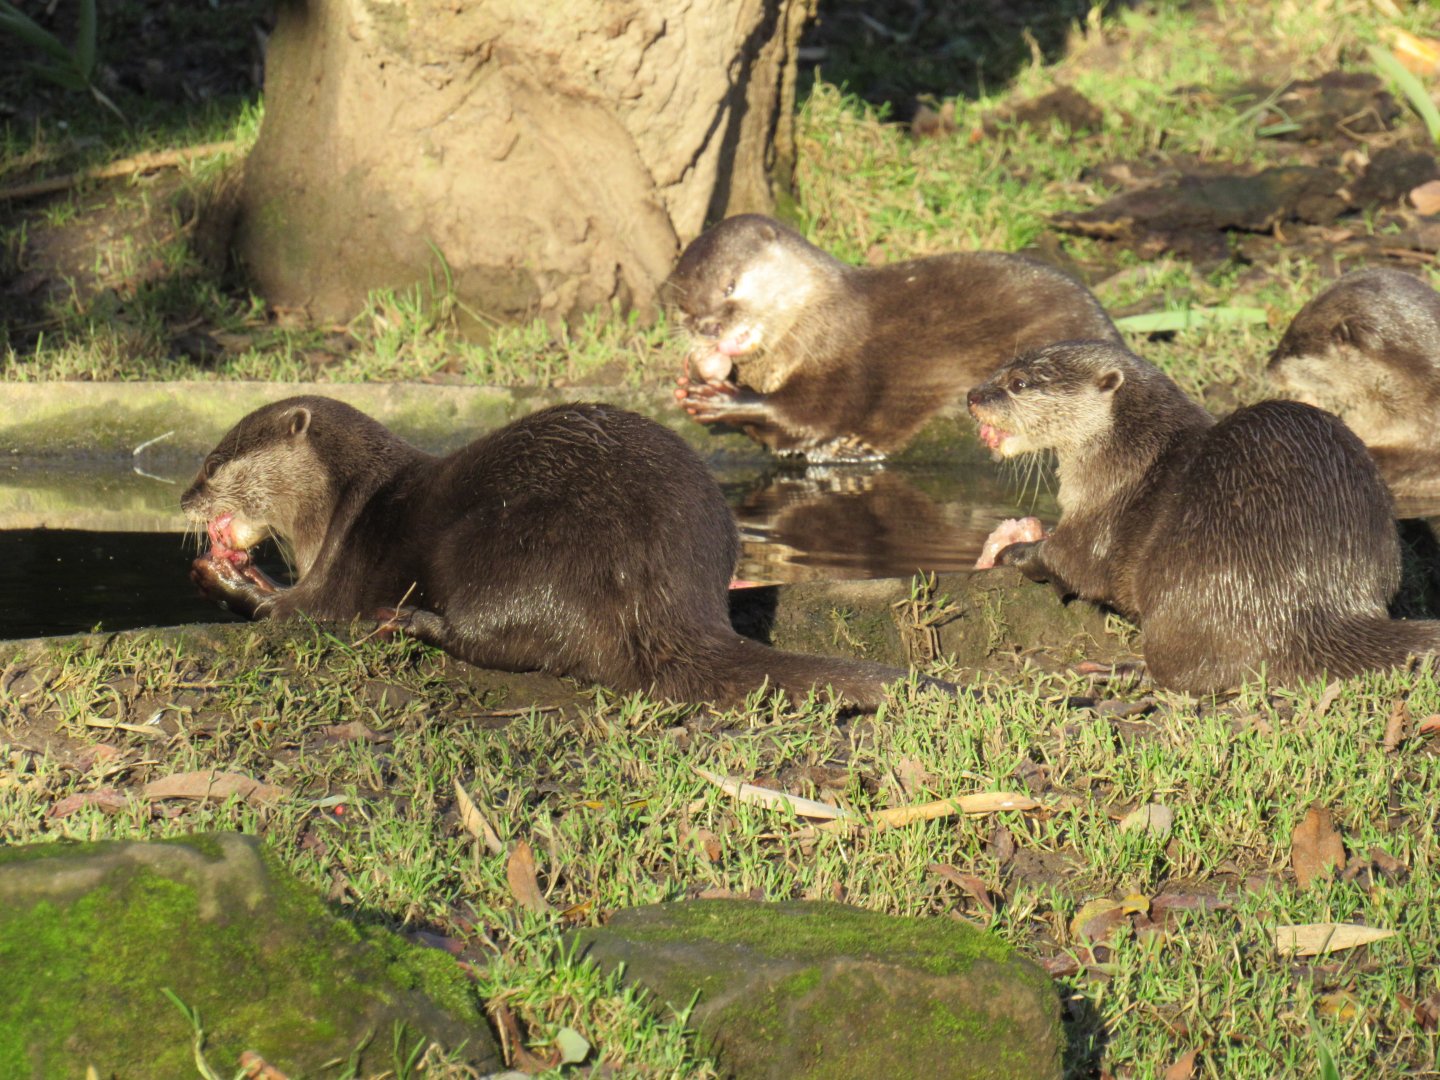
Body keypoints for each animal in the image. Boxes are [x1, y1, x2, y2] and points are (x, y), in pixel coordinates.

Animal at [180, 396, 937, 707]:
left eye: (215, 463)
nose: (186, 496)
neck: (347, 501)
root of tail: (664, 593)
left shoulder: (346, 566)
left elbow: (300, 613)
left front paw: (227, 580)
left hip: (511, 555)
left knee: (517, 641)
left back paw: (413, 622)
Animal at [667, 214, 1123, 462]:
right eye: (683, 306)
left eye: (729, 286)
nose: (707, 327)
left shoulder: (845, 356)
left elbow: (813, 414)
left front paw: (721, 400)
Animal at [968, 340, 1440, 693]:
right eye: (1001, 367)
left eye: (1018, 383)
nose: (972, 396)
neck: (1125, 455)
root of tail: (1315, 605)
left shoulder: (1102, 514)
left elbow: (1071, 565)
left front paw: (1014, 551)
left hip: (1188, 587)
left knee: (1188, 672)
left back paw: (1125, 671)